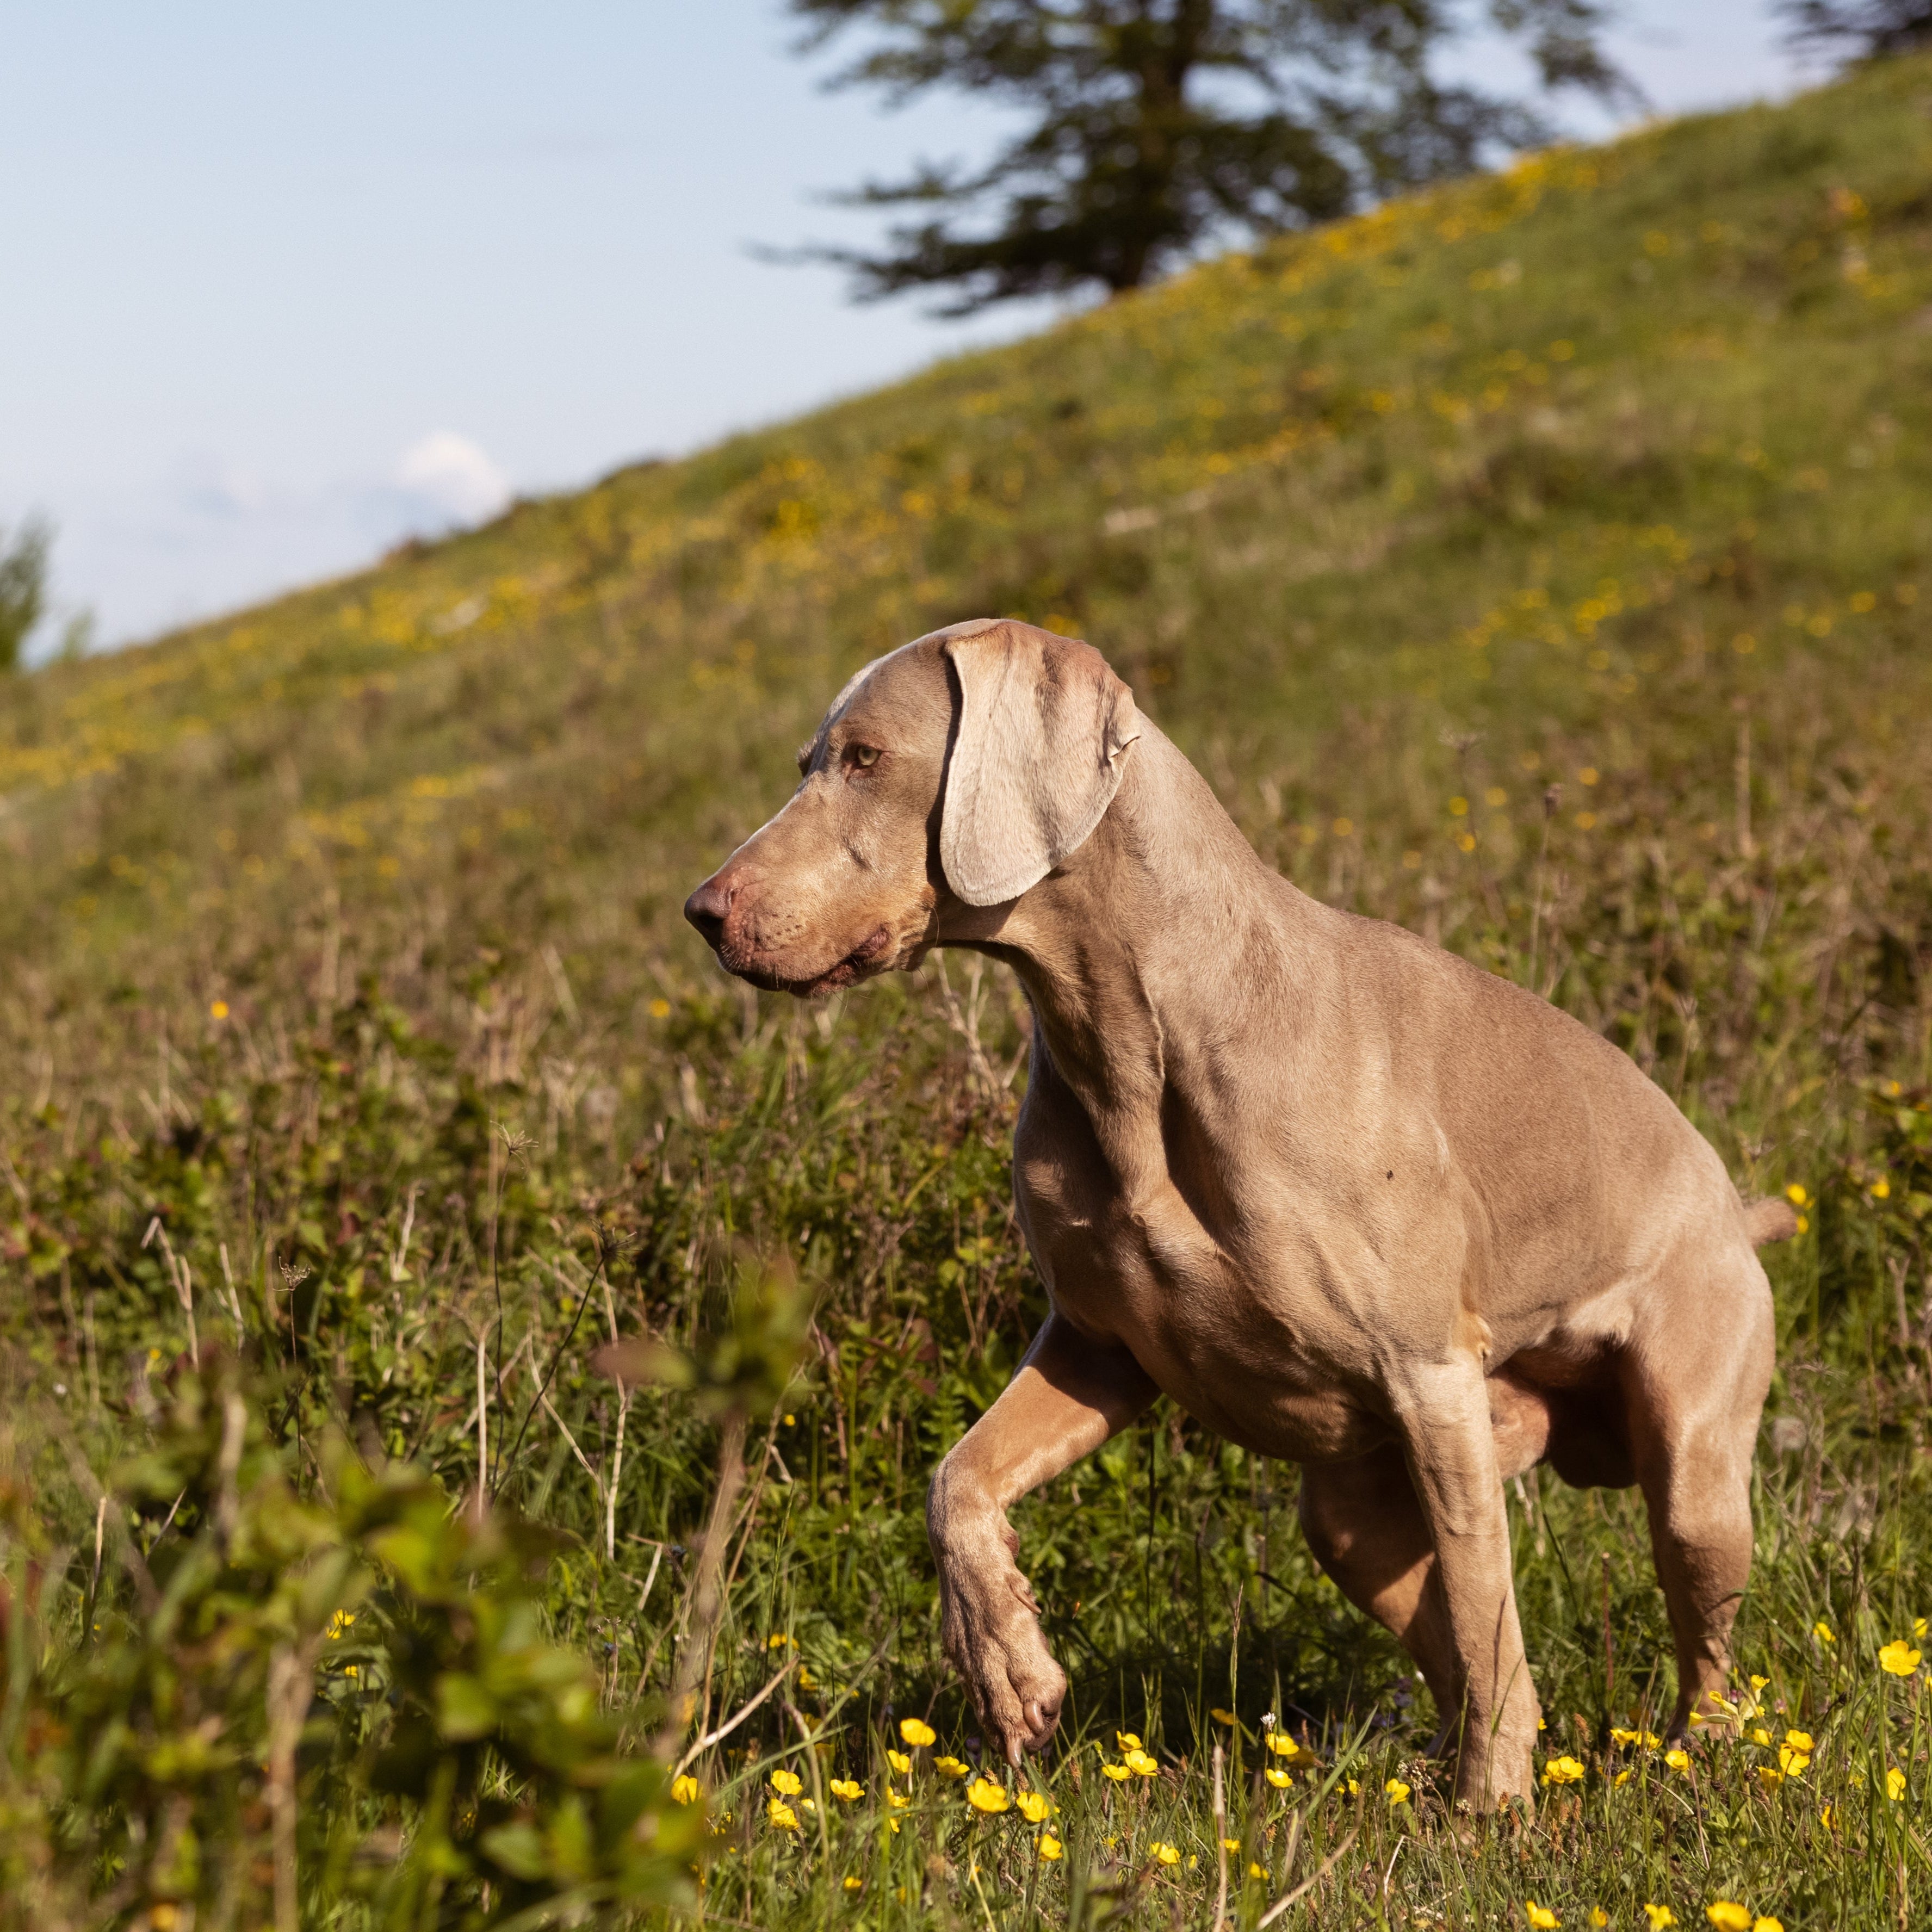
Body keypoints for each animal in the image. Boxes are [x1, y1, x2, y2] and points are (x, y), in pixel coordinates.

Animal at [684, 622, 1793, 1808]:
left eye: (864, 759)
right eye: (811, 761)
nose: (703, 911)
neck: (1134, 1041)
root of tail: (1731, 1199)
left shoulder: (1429, 1377)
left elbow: (1485, 1600)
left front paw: (1500, 1801)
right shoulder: (1098, 1346)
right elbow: (957, 1481)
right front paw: (1009, 1669)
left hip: (1689, 1462)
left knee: (1685, 1640)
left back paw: (1674, 1763)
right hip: (1354, 1510)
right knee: (1431, 1622)